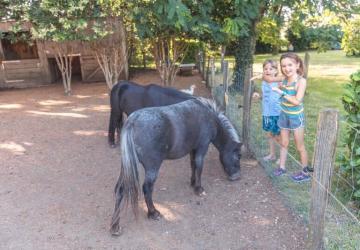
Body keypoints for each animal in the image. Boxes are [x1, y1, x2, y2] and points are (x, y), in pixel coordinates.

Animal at [109, 98, 242, 236]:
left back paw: (115, 226)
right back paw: (153, 213)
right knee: (147, 188)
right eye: (239, 156)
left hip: (128, 167)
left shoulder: (192, 149)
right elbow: (199, 167)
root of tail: (132, 122)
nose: (237, 176)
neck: (209, 116)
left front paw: (193, 182)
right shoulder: (202, 147)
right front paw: (199, 189)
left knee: (120, 189)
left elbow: (193, 165)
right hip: (152, 168)